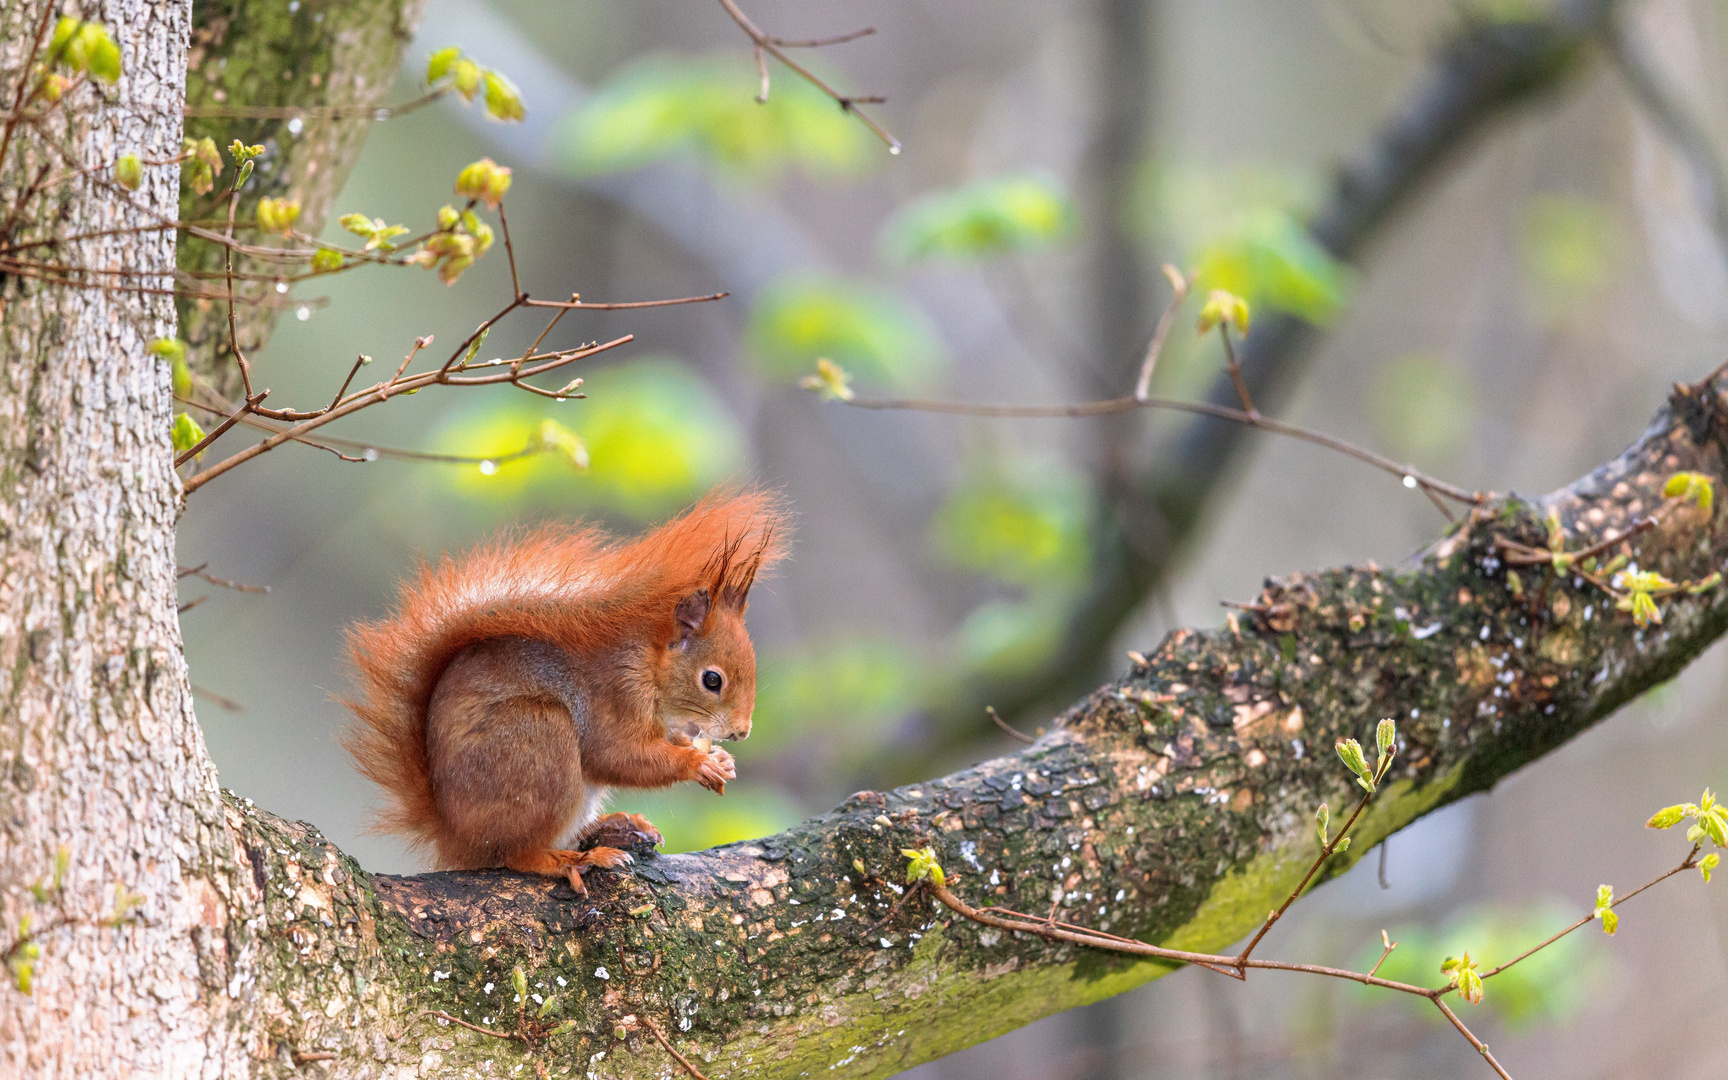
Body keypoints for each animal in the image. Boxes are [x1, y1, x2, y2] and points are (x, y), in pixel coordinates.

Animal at [343, 487, 791, 891]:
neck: (650, 669)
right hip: (539, 737)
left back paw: (618, 825)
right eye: (712, 680)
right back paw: (569, 859)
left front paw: (721, 761)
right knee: (513, 853)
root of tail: (454, 835)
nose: (741, 732)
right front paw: (698, 763)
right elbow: (618, 756)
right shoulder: (614, 696)